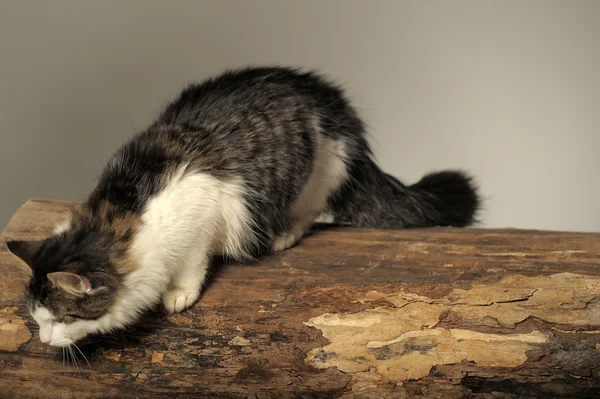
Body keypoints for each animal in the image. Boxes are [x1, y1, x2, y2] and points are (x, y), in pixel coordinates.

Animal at [4, 65, 478, 346]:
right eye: (36, 318)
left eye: (62, 318)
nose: (43, 341)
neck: (123, 208)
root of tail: (325, 94)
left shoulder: (204, 219)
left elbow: (192, 266)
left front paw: (179, 294)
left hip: (320, 168)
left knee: (309, 210)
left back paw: (284, 233)